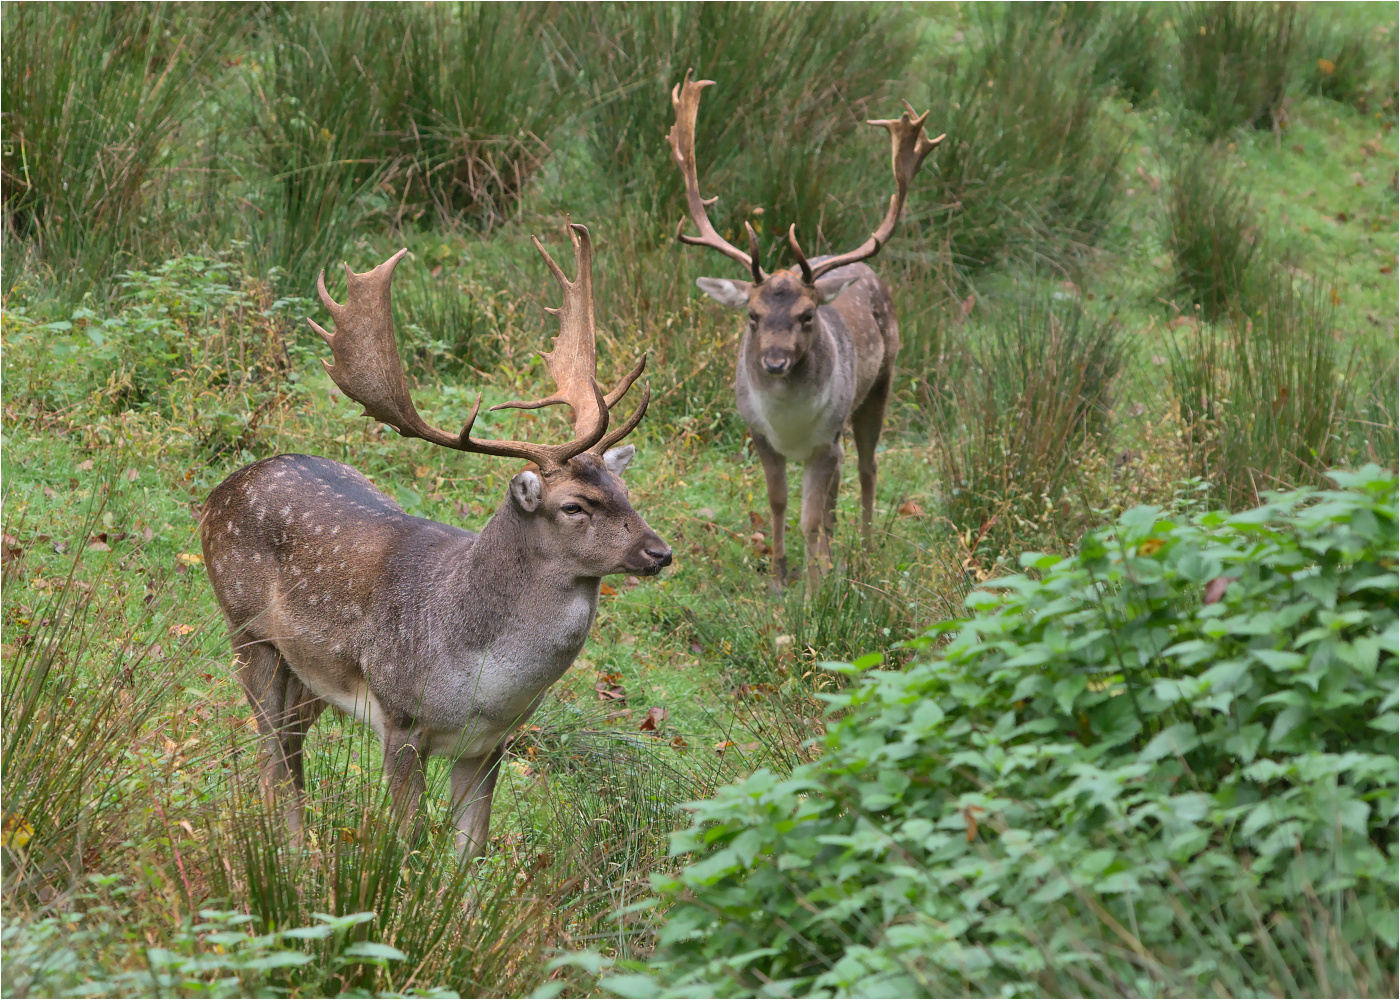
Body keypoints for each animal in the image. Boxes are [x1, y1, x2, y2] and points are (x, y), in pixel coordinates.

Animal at [200, 225, 669, 857]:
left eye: (623, 489)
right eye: (573, 505)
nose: (659, 552)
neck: (481, 679)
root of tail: (217, 493)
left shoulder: (491, 742)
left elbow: (472, 850)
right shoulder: (399, 715)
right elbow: (406, 839)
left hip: (311, 670)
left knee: (289, 744)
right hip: (247, 630)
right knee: (270, 747)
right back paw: (292, 853)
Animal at [666, 73, 940, 588]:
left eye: (807, 316)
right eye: (752, 315)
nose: (775, 361)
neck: (788, 425)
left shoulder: (824, 441)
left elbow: (810, 517)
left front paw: (815, 588)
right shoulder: (758, 435)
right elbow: (779, 503)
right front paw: (779, 577)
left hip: (882, 380)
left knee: (868, 468)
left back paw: (864, 550)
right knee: (840, 487)